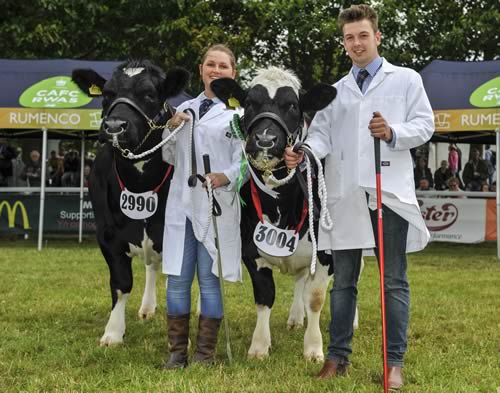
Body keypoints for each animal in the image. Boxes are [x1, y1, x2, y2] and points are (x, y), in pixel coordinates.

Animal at [73, 59, 190, 344]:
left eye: (149, 94)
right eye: (107, 94)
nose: (115, 126)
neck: (141, 184)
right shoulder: (107, 235)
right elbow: (121, 283)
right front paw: (113, 332)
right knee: (151, 265)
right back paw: (147, 308)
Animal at [213, 67, 338, 362]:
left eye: (292, 105)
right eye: (249, 103)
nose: (265, 140)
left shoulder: (326, 254)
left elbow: (316, 298)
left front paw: (313, 349)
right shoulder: (251, 251)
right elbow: (264, 296)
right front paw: (259, 347)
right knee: (300, 280)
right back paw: (294, 318)